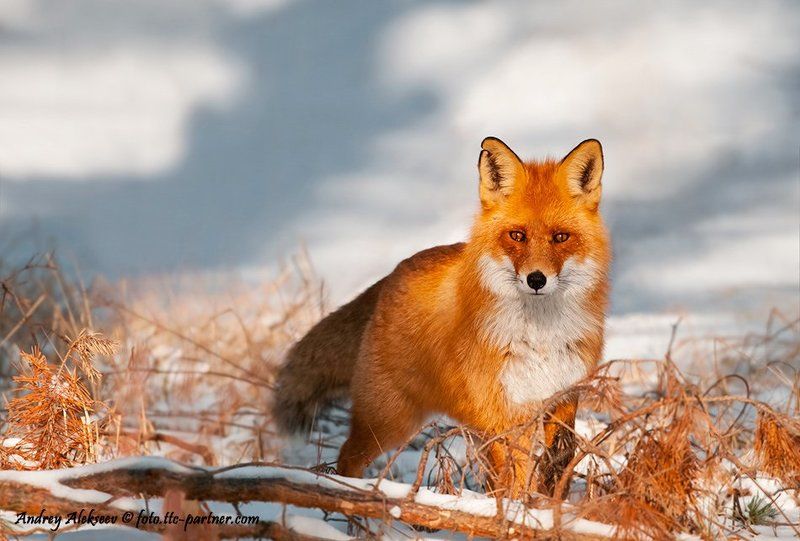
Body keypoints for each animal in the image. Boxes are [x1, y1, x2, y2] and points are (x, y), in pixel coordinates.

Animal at [274, 137, 611, 496]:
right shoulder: (505, 412)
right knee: (347, 456)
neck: (540, 338)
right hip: (390, 420)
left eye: (561, 237)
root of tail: (391, 275)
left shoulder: (564, 395)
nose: (536, 279)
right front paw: (519, 509)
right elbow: (518, 476)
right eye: (517, 236)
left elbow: (560, 458)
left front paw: (547, 501)